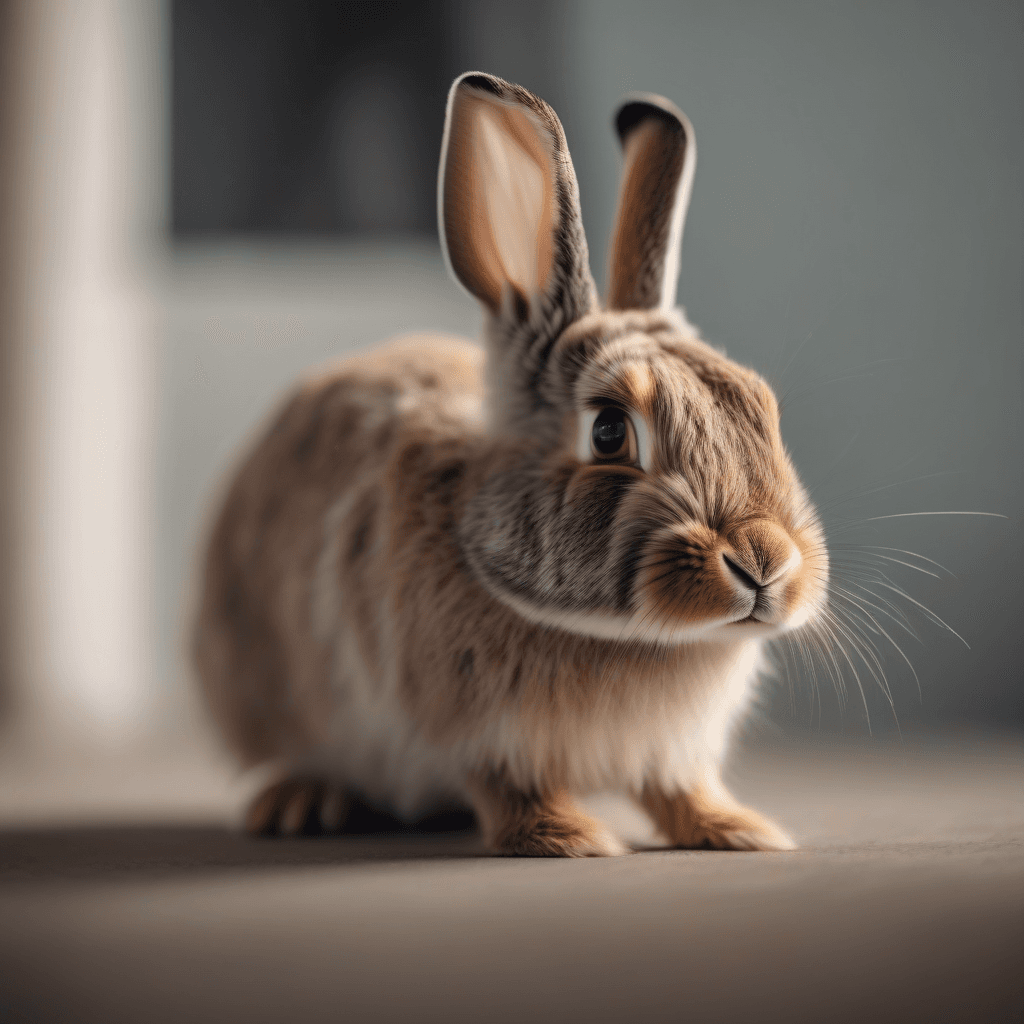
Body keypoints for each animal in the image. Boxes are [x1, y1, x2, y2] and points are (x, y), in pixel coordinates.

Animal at [193, 71, 829, 857]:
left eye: (761, 408)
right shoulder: (479, 736)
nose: (766, 562)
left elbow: (678, 789)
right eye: (609, 432)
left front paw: (740, 830)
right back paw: (300, 803)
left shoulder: (672, 753)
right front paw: (571, 838)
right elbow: (512, 787)